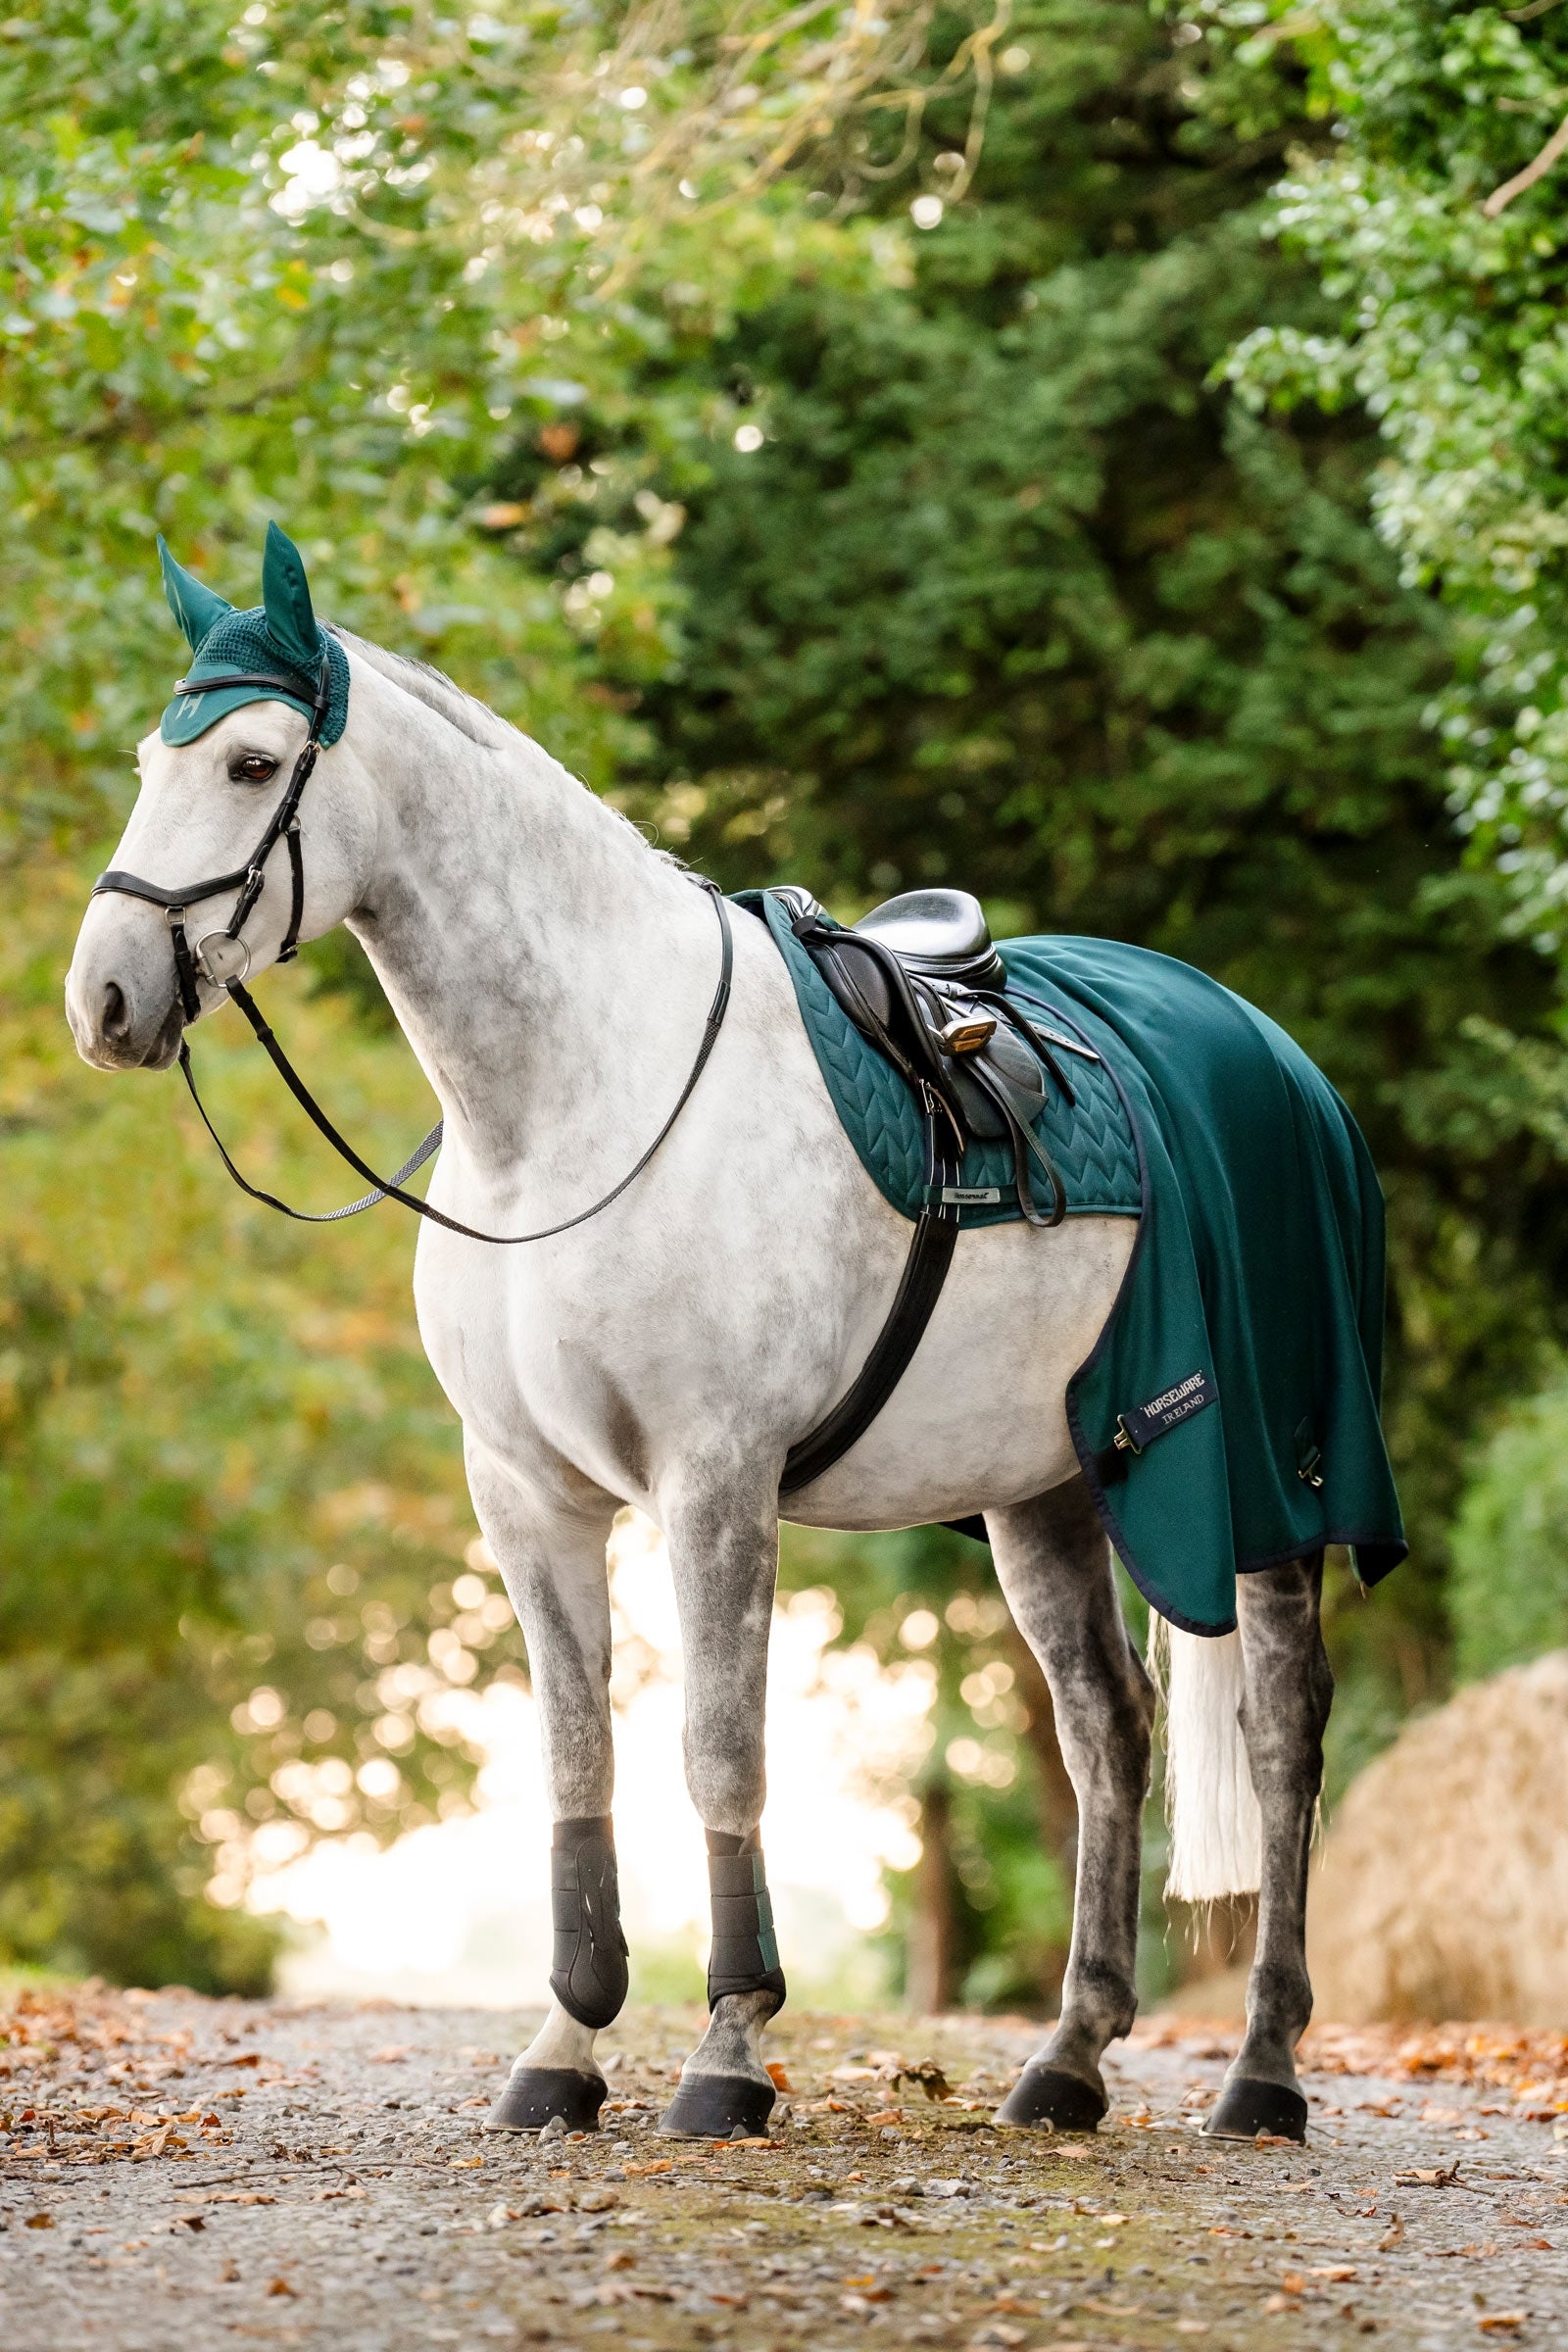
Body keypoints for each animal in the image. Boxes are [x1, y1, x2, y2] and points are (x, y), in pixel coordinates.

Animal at [66, 528, 1336, 2146]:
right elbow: (578, 1759)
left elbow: (720, 1752)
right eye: (148, 759)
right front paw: (563, 2046)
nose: (105, 997)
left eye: (248, 760)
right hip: (1042, 1486)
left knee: (1285, 1730)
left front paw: (727, 2053)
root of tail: (1265, 1044)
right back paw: (1068, 2061)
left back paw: (1262, 2072)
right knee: (1106, 1726)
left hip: (1273, 1483)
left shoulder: (713, 1480)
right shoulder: (527, 1496)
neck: (572, 1107)